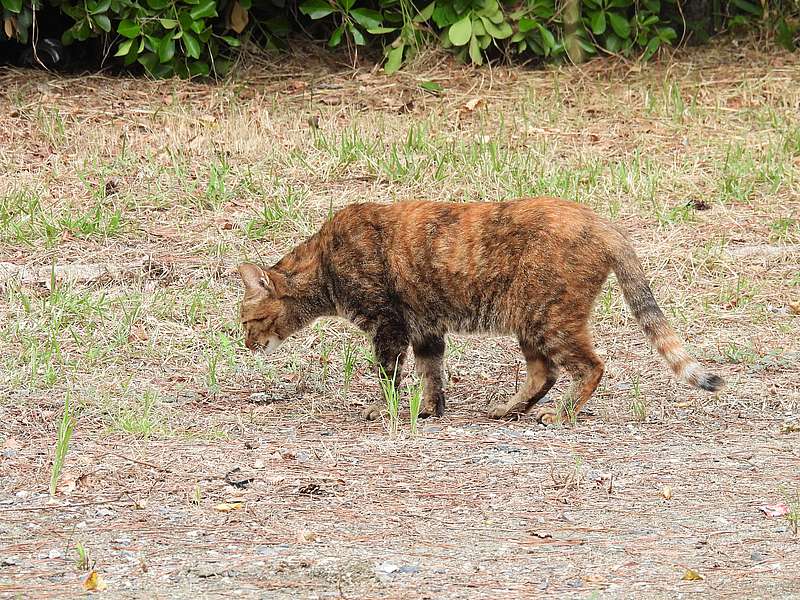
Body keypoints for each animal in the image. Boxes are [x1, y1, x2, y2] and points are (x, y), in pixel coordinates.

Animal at [239, 197, 724, 422]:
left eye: (248, 320)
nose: (245, 345)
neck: (323, 265)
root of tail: (602, 222)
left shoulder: (389, 326)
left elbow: (389, 377)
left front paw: (391, 409)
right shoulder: (425, 330)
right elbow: (432, 376)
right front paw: (428, 410)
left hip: (548, 318)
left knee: (591, 366)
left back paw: (560, 414)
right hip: (531, 322)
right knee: (544, 372)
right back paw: (510, 409)